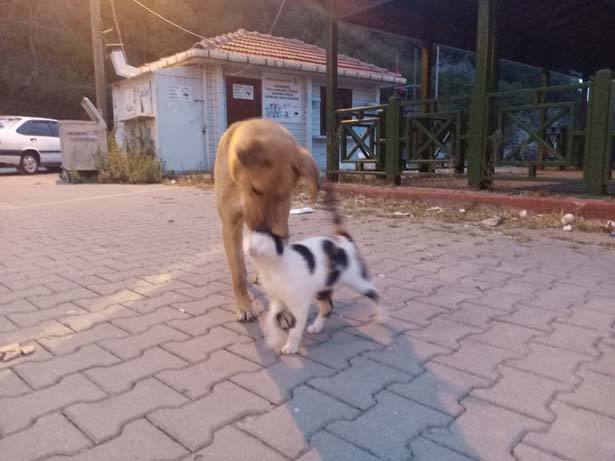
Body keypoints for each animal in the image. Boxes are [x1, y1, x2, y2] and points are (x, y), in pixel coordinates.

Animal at [214, 119, 319, 322]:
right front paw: (244, 306)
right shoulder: (230, 225)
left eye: (283, 195)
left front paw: (283, 310)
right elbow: (237, 273)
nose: (264, 230)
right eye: (255, 189)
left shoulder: (280, 223)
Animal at [245, 192, 384, 354]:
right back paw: (317, 327)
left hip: (356, 280)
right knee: (328, 306)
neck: (271, 268)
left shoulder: (299, 303)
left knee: (374, 293)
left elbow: (295, 327)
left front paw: (290, 346)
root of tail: (343, 239)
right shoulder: (278, 299)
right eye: (249, 239)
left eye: (262, 240)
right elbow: (273, 318)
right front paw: (274, 337)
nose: (250, 247)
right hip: (322, 287)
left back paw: (382, 316)